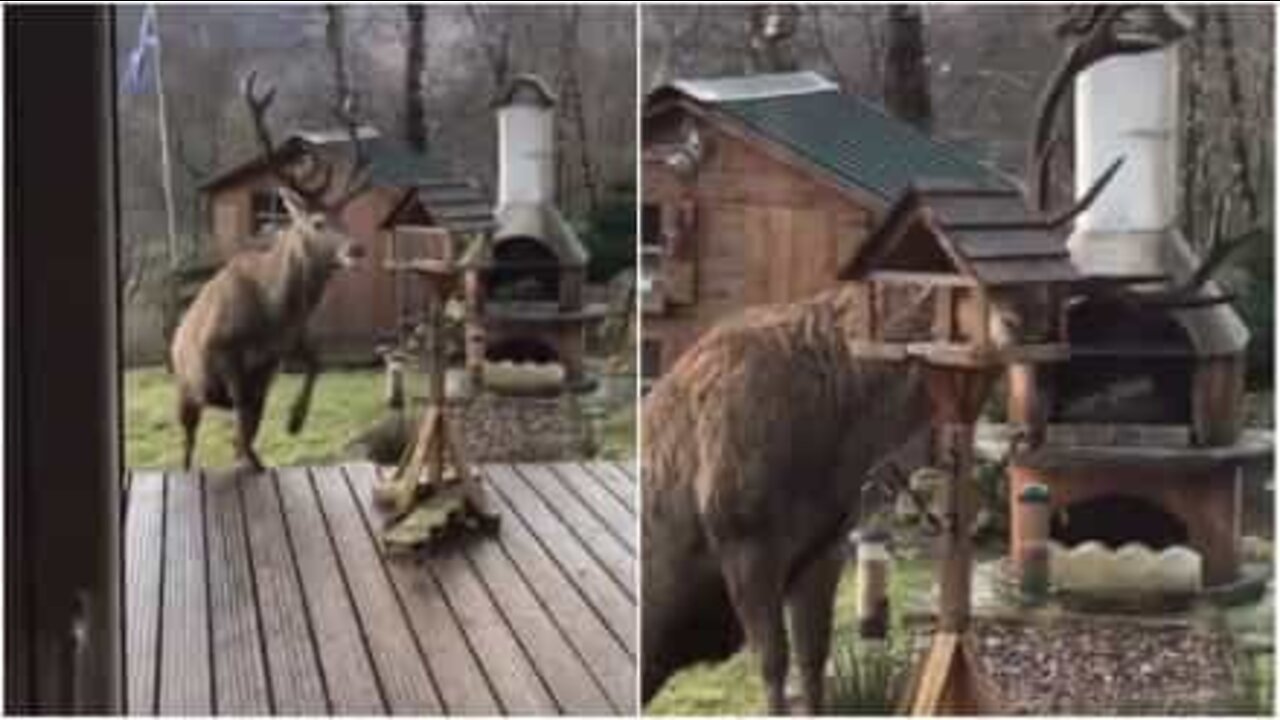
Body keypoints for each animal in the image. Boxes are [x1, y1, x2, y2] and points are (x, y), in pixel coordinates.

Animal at [171, 73, 371, 471]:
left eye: (344, 217)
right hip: (185, 388)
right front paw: (252, 453)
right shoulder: (222, 352)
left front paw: (294, 421)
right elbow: (239, 413)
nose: (356, 249)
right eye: (318, 222)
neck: (273, 314)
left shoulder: (278, 355)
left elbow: (316, 363)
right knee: (187, 442)